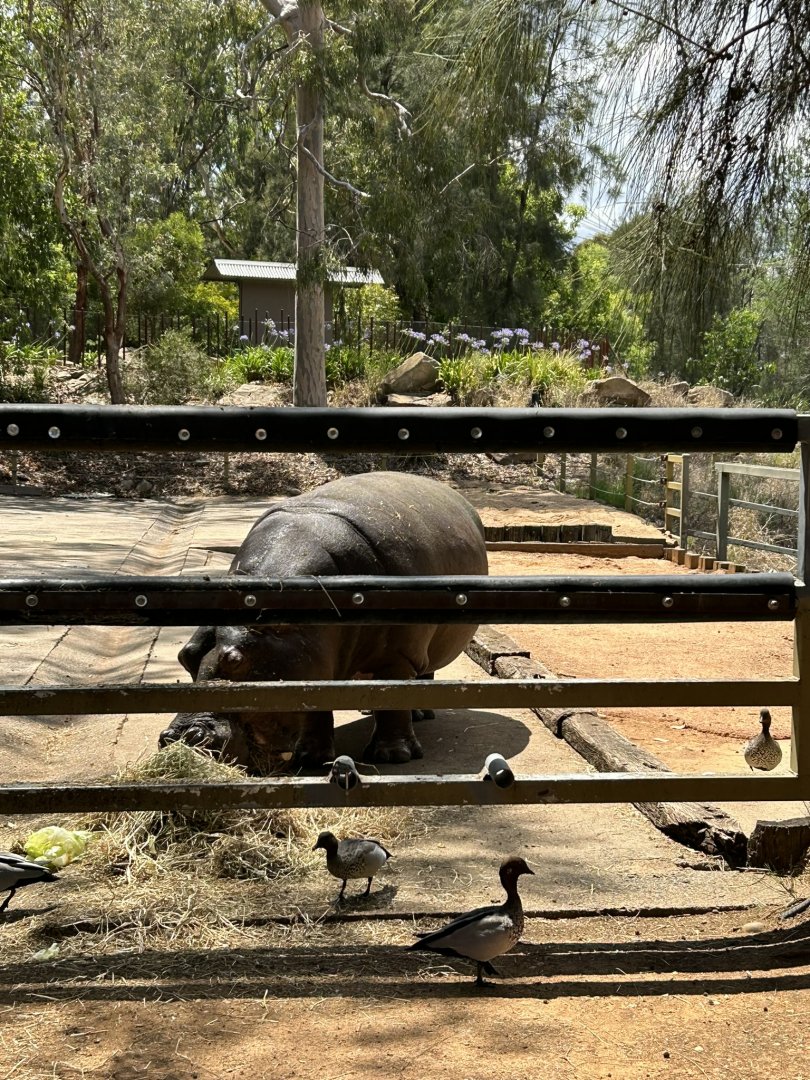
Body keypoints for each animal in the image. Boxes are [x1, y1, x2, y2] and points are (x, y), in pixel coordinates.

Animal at [159, 472, 488, 772]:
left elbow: (393, 704)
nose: (178, 737)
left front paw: (393, 756)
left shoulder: (398, 656)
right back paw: (366, 708)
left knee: (420, 677)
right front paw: (311, 759)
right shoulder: (312, 656)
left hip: (419, 651)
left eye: (235, 660)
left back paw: (419, 714)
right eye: (185, 656)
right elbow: (316, 707)